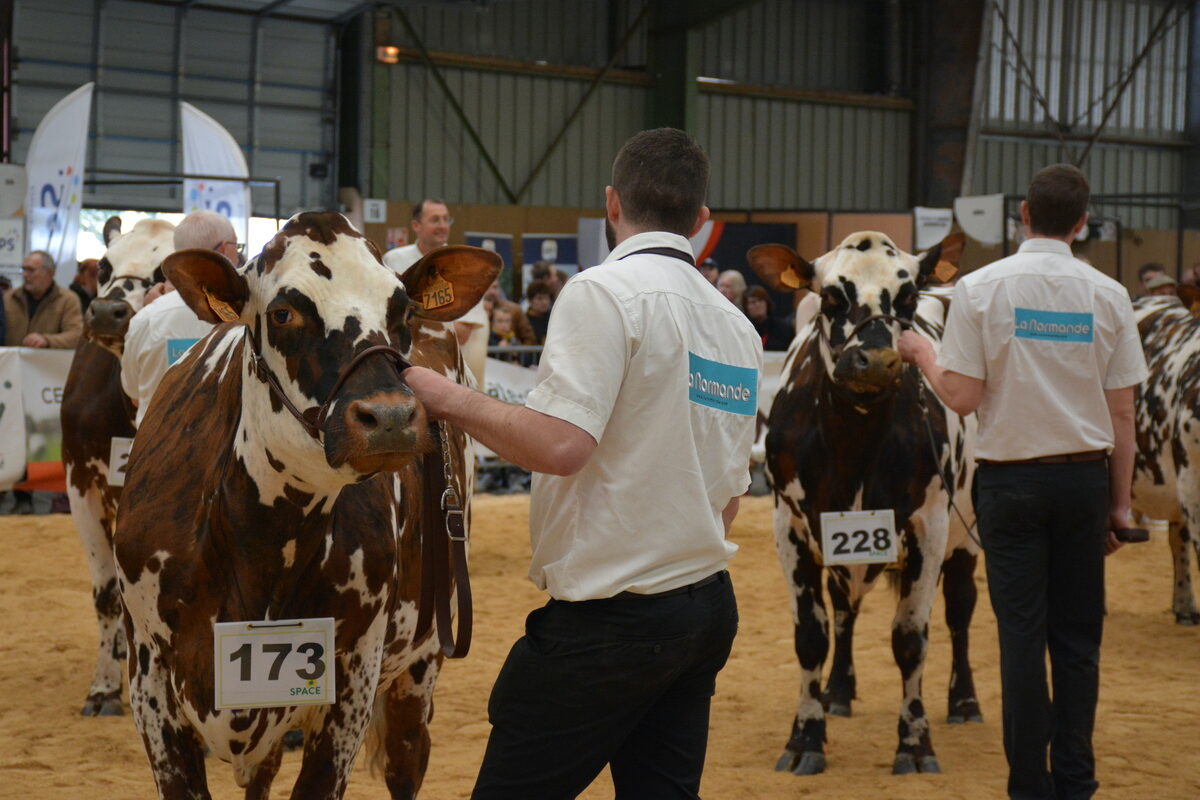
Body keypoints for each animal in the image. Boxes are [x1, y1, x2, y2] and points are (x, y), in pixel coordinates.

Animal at [114, 209, 499, 796]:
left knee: (407, 760)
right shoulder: (150, 683)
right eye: (283, 312)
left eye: (402, 308)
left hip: (424, 656)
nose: (391, 416)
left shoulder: (354, 678)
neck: (264, 543)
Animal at [748, 231, 984, 777]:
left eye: (908, 297)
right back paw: (838, 690)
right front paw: (805, 737)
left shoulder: (930, 525)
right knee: (844, 609)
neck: (853, 440)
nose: (875, 361)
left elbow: (911, 638)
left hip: (967, 529)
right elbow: (811, 635)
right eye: (832, 297)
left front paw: (914, 744)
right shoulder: (791, 525)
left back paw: (964, 701)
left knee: (961, 610)